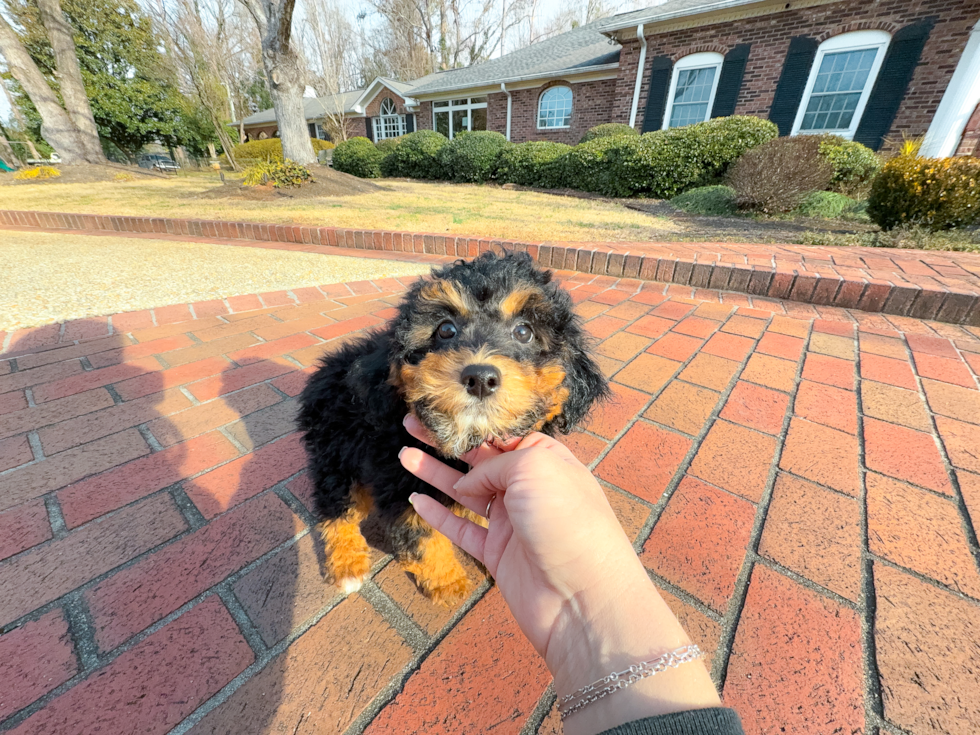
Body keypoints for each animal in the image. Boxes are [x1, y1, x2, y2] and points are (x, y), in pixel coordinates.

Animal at [294, 253, 608, 604]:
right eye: (446, 329)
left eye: (524, 332)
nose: (480, 378)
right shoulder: (400, 479)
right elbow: (423, 537)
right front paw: (448, 584)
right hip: (337, 451)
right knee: (336, 506)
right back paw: (347, 563)